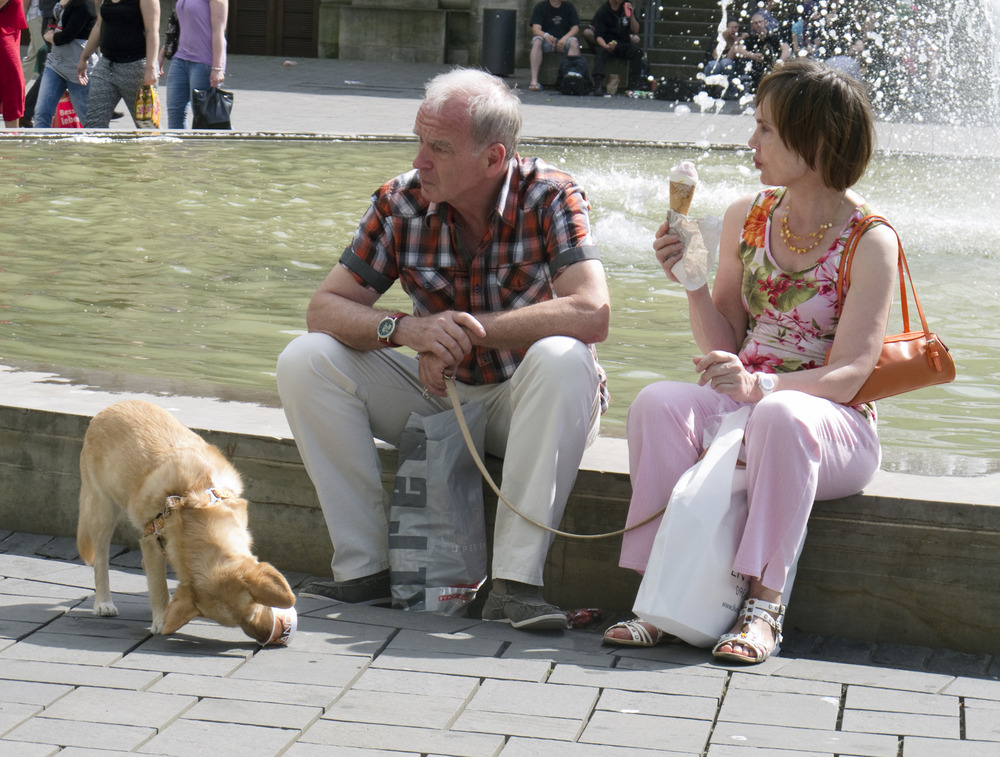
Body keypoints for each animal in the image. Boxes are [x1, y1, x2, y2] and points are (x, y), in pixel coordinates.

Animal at [76, 398, 294, 640]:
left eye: (254, 610)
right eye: (241, 621)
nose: (268, 638)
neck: (196, 506)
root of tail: (110, 408)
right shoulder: (150, 538)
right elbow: (159, 586)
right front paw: (161, 620)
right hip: (102, 511)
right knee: (101, 560)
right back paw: (103, 602)